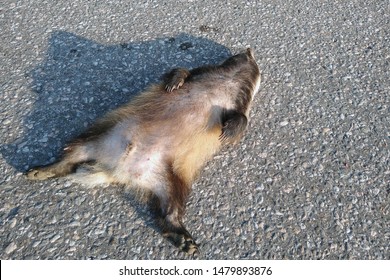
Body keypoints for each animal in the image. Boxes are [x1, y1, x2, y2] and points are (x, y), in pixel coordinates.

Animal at [26, 47, 258, 254]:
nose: (249, 52)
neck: (230, 79)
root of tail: (117, 172)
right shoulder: (203, 72)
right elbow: (180, 69)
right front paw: (175, 81)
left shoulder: (239, 103)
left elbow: (241, 120)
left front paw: (230, 129)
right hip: (104, 136)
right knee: (75, 152)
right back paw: (44, 169)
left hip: (170, 174)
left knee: (171, 206)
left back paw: (182, 236)